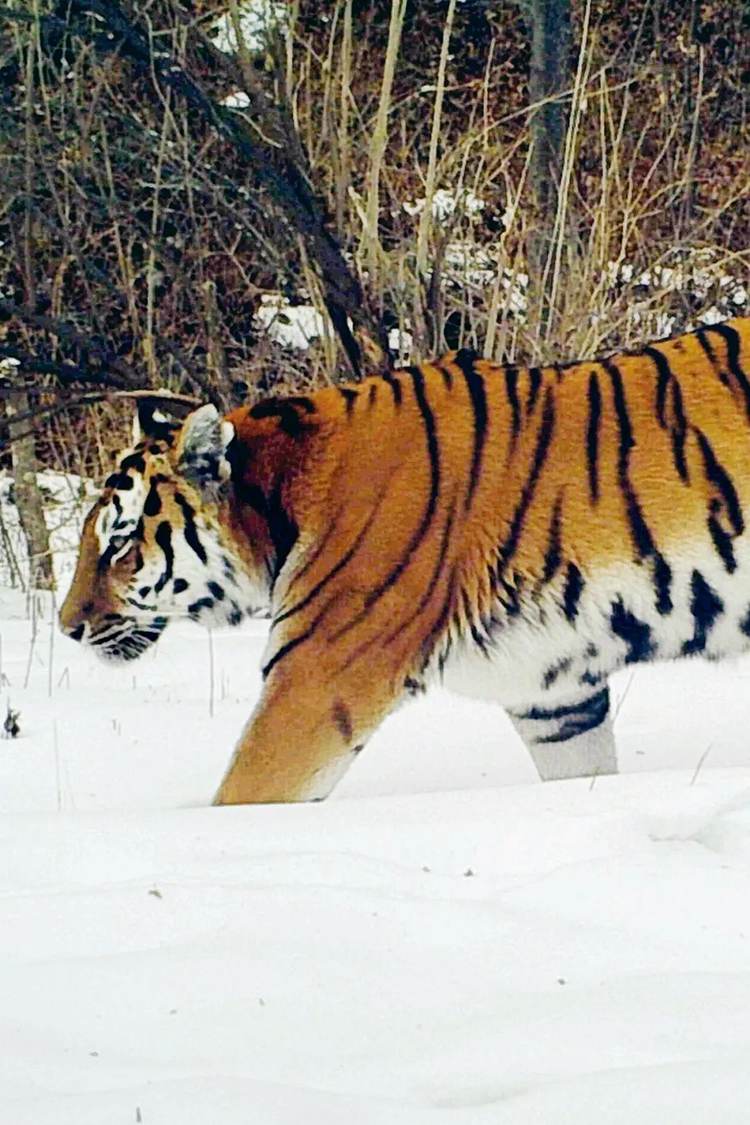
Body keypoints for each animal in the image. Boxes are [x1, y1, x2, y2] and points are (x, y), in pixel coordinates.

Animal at [60, 317, 750, 805]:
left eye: (119, 542)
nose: (66, 627)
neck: (283, 498)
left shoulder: (318, 678)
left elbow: (244, 794)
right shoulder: (553, 695)